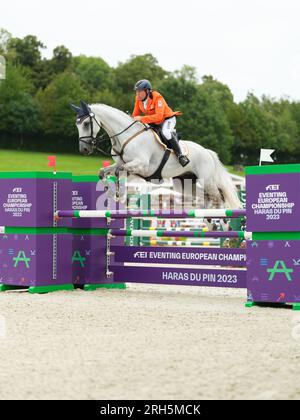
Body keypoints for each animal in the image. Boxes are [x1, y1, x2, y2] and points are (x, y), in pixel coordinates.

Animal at [71, 100, 241, 208]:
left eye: (86, 123)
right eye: (77, 125)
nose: (83, 150)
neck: (125, 136)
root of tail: (207, 152)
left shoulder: (141, 165)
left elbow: (120, 171)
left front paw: (119, 193)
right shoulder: (121, 163)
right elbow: (103, 172)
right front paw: (111, 192)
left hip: (207, 180)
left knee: (218, 196)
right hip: (184, 183)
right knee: (206, 196)